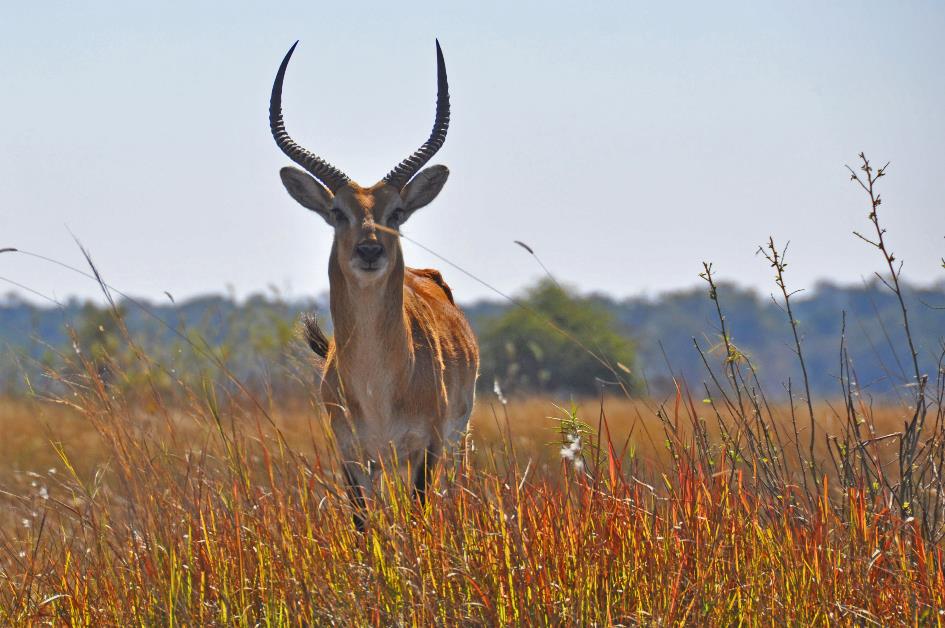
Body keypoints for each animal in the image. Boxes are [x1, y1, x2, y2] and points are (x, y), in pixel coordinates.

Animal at [272, 36, 480, 524]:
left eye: (397, 212)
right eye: (337, 212)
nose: (369, 250)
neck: (378, 383)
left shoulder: (427, 448)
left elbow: (421, 516)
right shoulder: (353, 456)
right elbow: (364, 524)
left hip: (454, 442)